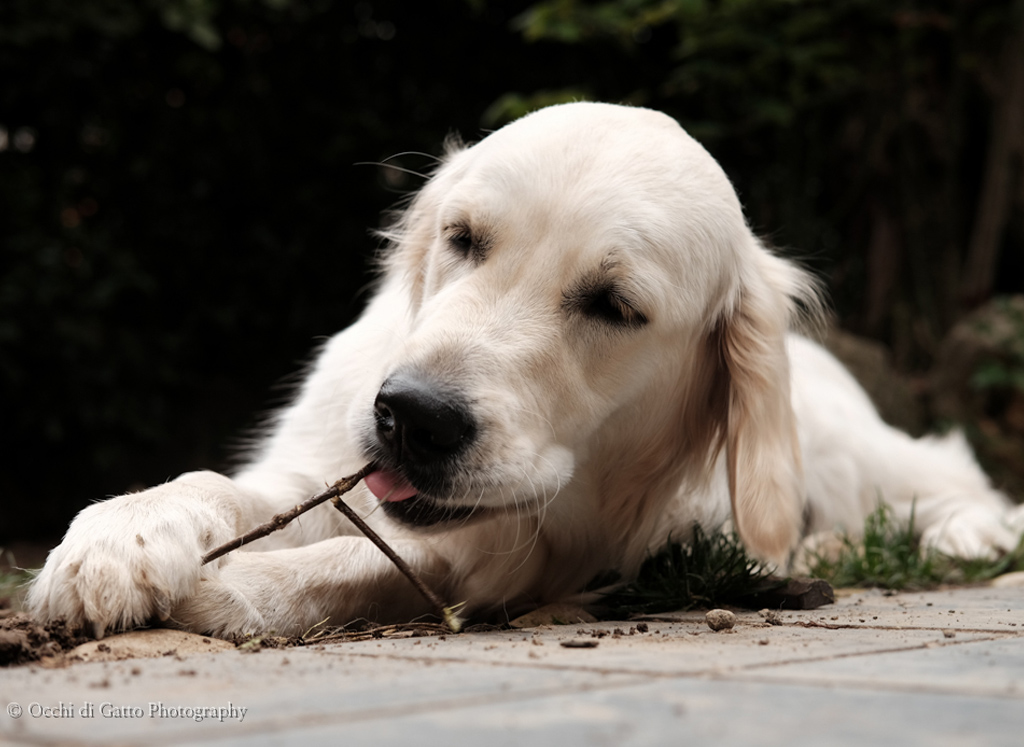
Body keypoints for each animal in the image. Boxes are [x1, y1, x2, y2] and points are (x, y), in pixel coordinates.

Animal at [28, 101, 1019, 635]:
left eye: (615, 305)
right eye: (463, 238)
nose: (411, 416)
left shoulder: (542, 554)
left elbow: (377, 560)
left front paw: (233, 590)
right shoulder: (324, 464)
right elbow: (228, 489)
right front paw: (122, 536)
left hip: (848, 451)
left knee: (951, 476)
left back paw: (968, 536)